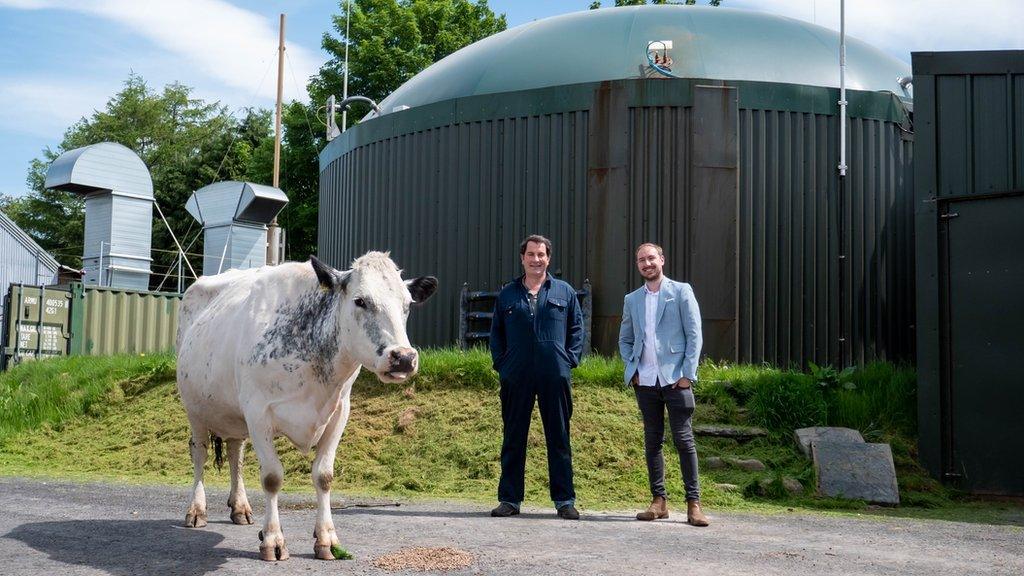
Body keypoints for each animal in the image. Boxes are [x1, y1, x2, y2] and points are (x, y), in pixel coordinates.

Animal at [175, 250, 436, 557]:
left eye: (407, 305)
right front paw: (273, 539)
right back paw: (196, 510)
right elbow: (272, 477)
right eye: (360, 300)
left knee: (235, 453)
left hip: (233, 415)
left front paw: (327, 539)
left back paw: (240, 507)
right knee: (200, 453)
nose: (404, 357)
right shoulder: (258, 413)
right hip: (195, 410)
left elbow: (324, 475)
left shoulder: (339, 412)